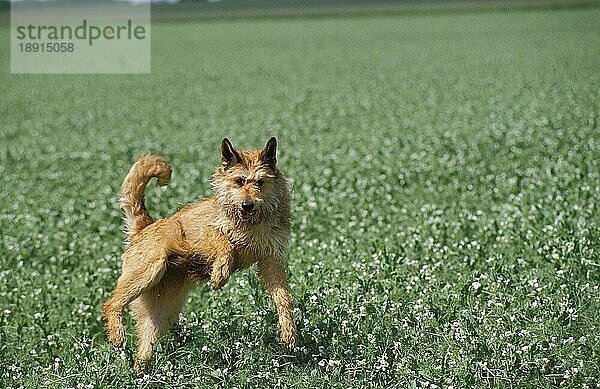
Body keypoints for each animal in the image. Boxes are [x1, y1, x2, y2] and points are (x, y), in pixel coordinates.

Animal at [104, 136, 298, 370]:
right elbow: (224, 243)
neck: (251, 224)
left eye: (260, 182)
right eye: (239, 181)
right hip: (147, 271)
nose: (247, 205)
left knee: (144, 346)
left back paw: (140, 372)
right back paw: (116, 334)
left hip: (161, 312)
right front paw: (219, 274)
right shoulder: (203, 235)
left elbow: (283, 298)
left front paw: (288, 332)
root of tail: (143, 227)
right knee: (111, 304)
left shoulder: (271, 260)